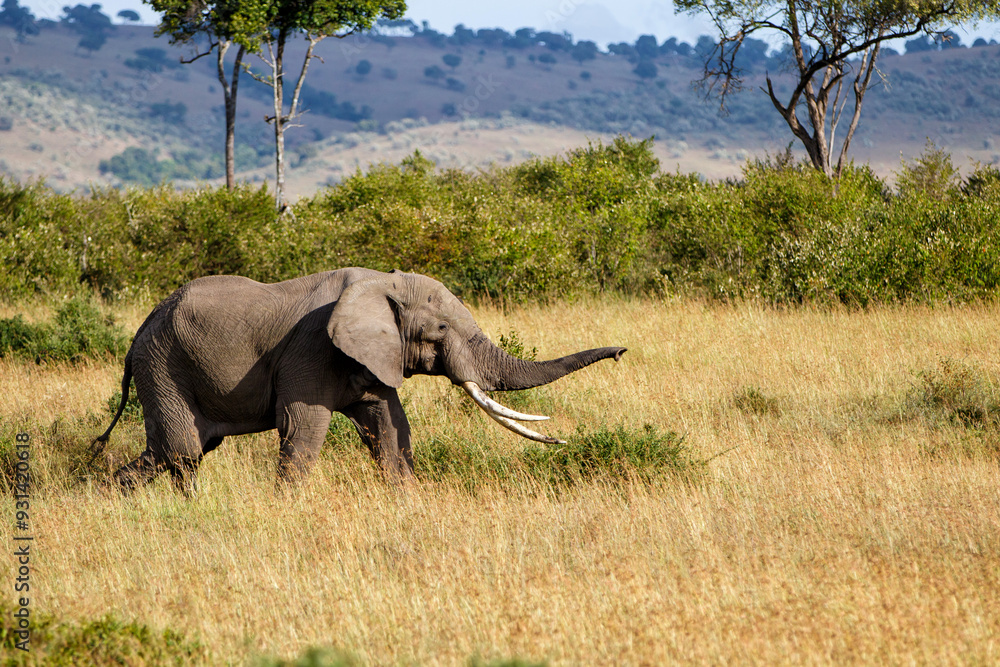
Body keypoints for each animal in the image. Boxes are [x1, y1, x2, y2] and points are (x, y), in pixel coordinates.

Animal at [96, 268, 626, 494]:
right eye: (440, 329)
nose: (622, 352)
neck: (381, 282)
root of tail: (137, 332)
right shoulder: (310, 349)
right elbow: (304, 429)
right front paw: (288, 510)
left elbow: (390, 428)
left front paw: (409, 503)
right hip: (162, 364)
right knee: (183, 452)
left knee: (174, 453)